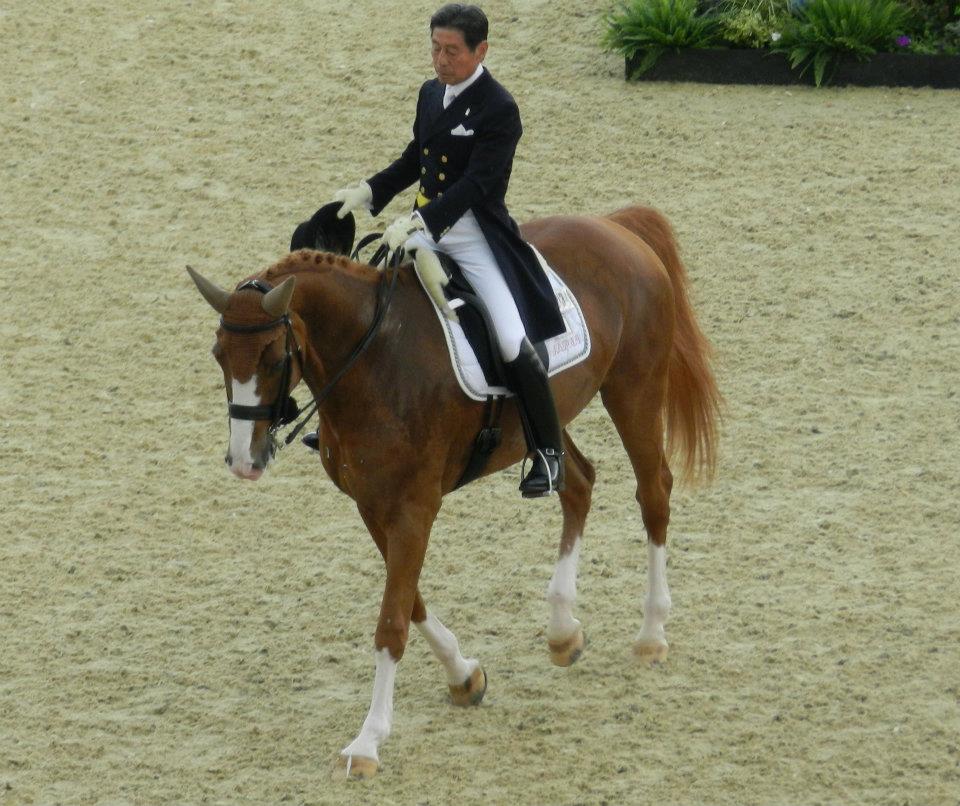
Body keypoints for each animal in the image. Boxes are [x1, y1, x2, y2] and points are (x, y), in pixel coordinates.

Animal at [188, 205, 716, 780]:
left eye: (270, 355)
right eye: (218, 354)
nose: (244, 461)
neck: (373, 357)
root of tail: (614, 225)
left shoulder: (413, 507)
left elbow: (392, 621)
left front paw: (368, 742)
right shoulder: (373, 505)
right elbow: (411, 601)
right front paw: (464, 676)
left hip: (634, 388)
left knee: (653, 493)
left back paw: (651, 635)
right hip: (552, 421)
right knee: (577, 483)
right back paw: (562, 631)